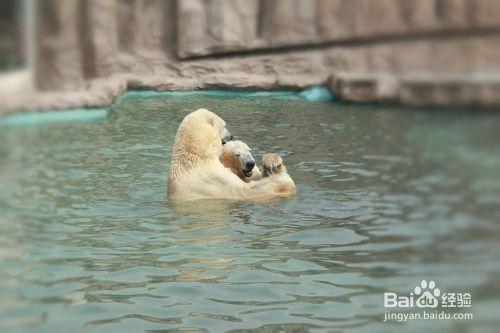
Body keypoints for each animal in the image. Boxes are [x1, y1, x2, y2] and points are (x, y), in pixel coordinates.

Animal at [166, 109, 294, 201]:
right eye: (224, 125)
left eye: (250, 151)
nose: (231, 136)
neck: (198, 157)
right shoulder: (215, 181)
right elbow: (246, 190)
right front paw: (282, 180)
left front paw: (271, 163)